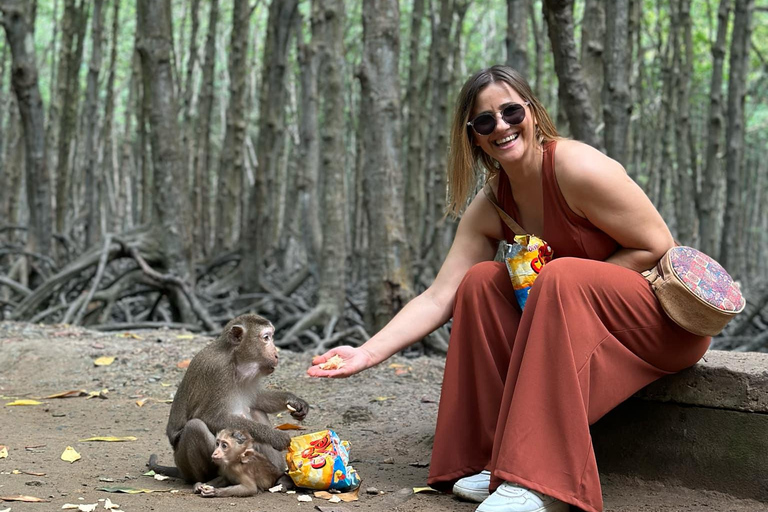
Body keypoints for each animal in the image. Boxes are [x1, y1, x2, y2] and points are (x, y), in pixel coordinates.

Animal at [148, 312, 308, 484]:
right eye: (266, 337)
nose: (277, 355)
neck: (235, 360)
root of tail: (181, 471)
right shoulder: (218, 371)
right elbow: (210, 417)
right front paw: (275, 436)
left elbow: (256, 400)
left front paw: (294, 401)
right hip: (186, 464)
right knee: (195, 427)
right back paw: (211, 478)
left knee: (256, 410)